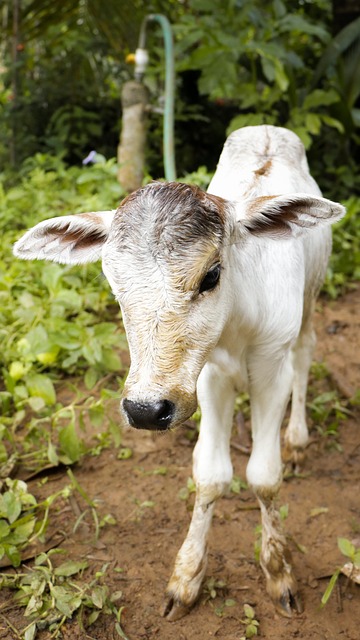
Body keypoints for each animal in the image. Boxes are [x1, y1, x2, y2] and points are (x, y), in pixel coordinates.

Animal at [14, 125, 346, 620]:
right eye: (114, 285)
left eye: (211, 275)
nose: (146, 410)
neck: (238, 318)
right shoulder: (203, 377)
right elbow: (210, 475)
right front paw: (186, 576)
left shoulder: (273, 369)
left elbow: (264, 477)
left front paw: (278, 570)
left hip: (311, 297)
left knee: (307, 353)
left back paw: (298, 439)